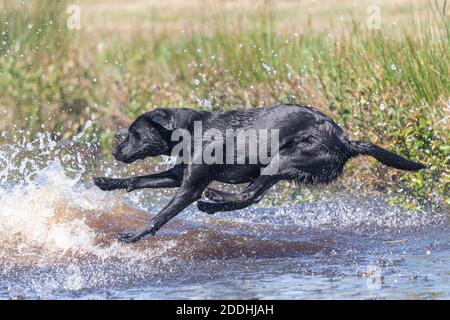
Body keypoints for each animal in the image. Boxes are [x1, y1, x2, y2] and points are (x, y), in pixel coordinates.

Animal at [93, 105, 424, 242]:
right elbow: (139, 179)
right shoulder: (180, 174)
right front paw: (107, 181)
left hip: (284, 159)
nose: (115, 152)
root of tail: (346, 141)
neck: (192, 132)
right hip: (279, 166)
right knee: (253, 194)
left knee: (250, 195)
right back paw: (214, 203)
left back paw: (213, 199)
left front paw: (134, 235)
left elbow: (160, 216)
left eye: (134, 133)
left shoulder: (190, 186)